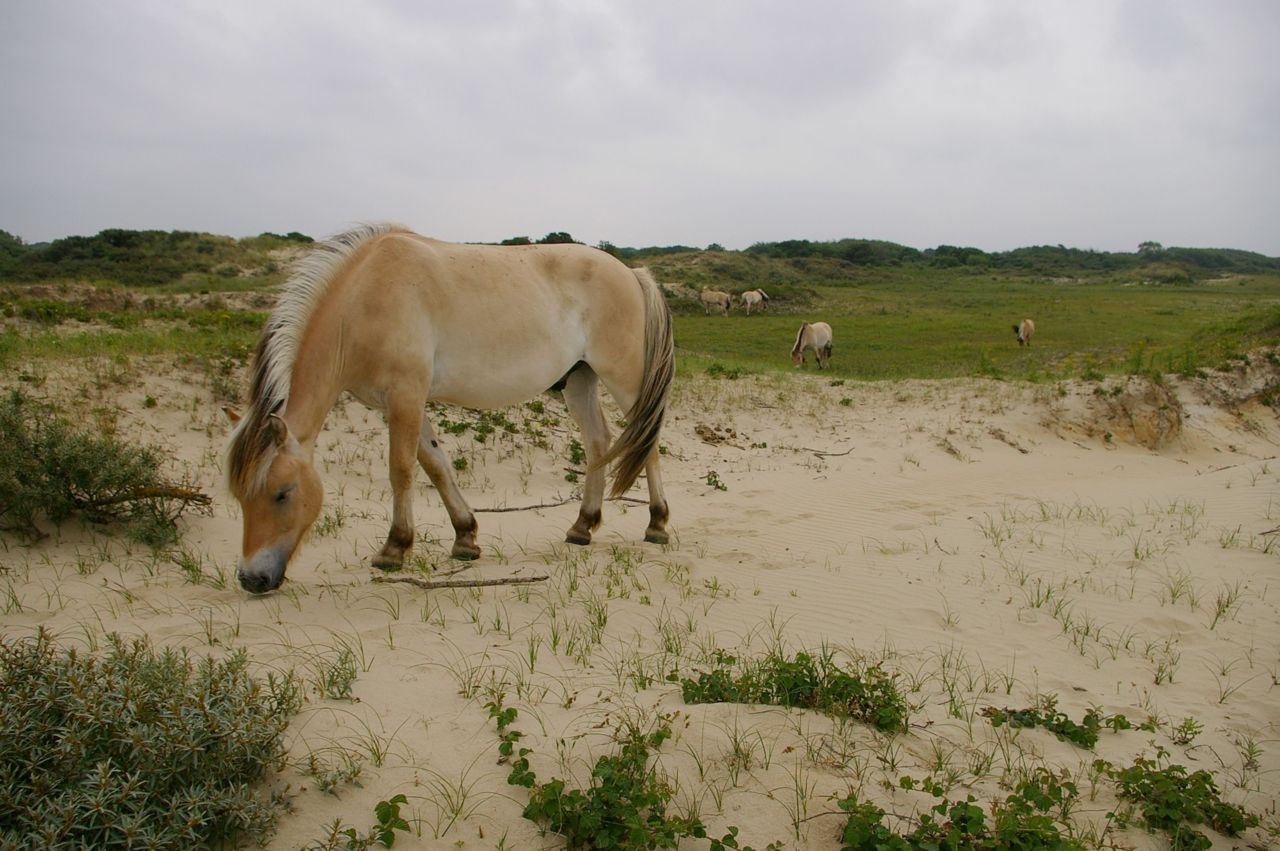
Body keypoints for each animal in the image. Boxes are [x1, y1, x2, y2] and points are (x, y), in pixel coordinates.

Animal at [225, 223, 675, 591]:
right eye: (240, 496)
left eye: (282, 494)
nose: (251, 579)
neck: (365, 299)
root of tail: (630, 274)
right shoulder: (403, 403)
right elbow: (436, 465)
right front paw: (465, 537)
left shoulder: (406, 395)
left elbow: (402, 470)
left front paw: (394, 548)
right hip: (579, 380)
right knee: (599, 442)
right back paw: (582, 526)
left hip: (625, 379)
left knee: (648, 442)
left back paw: (657, 523)